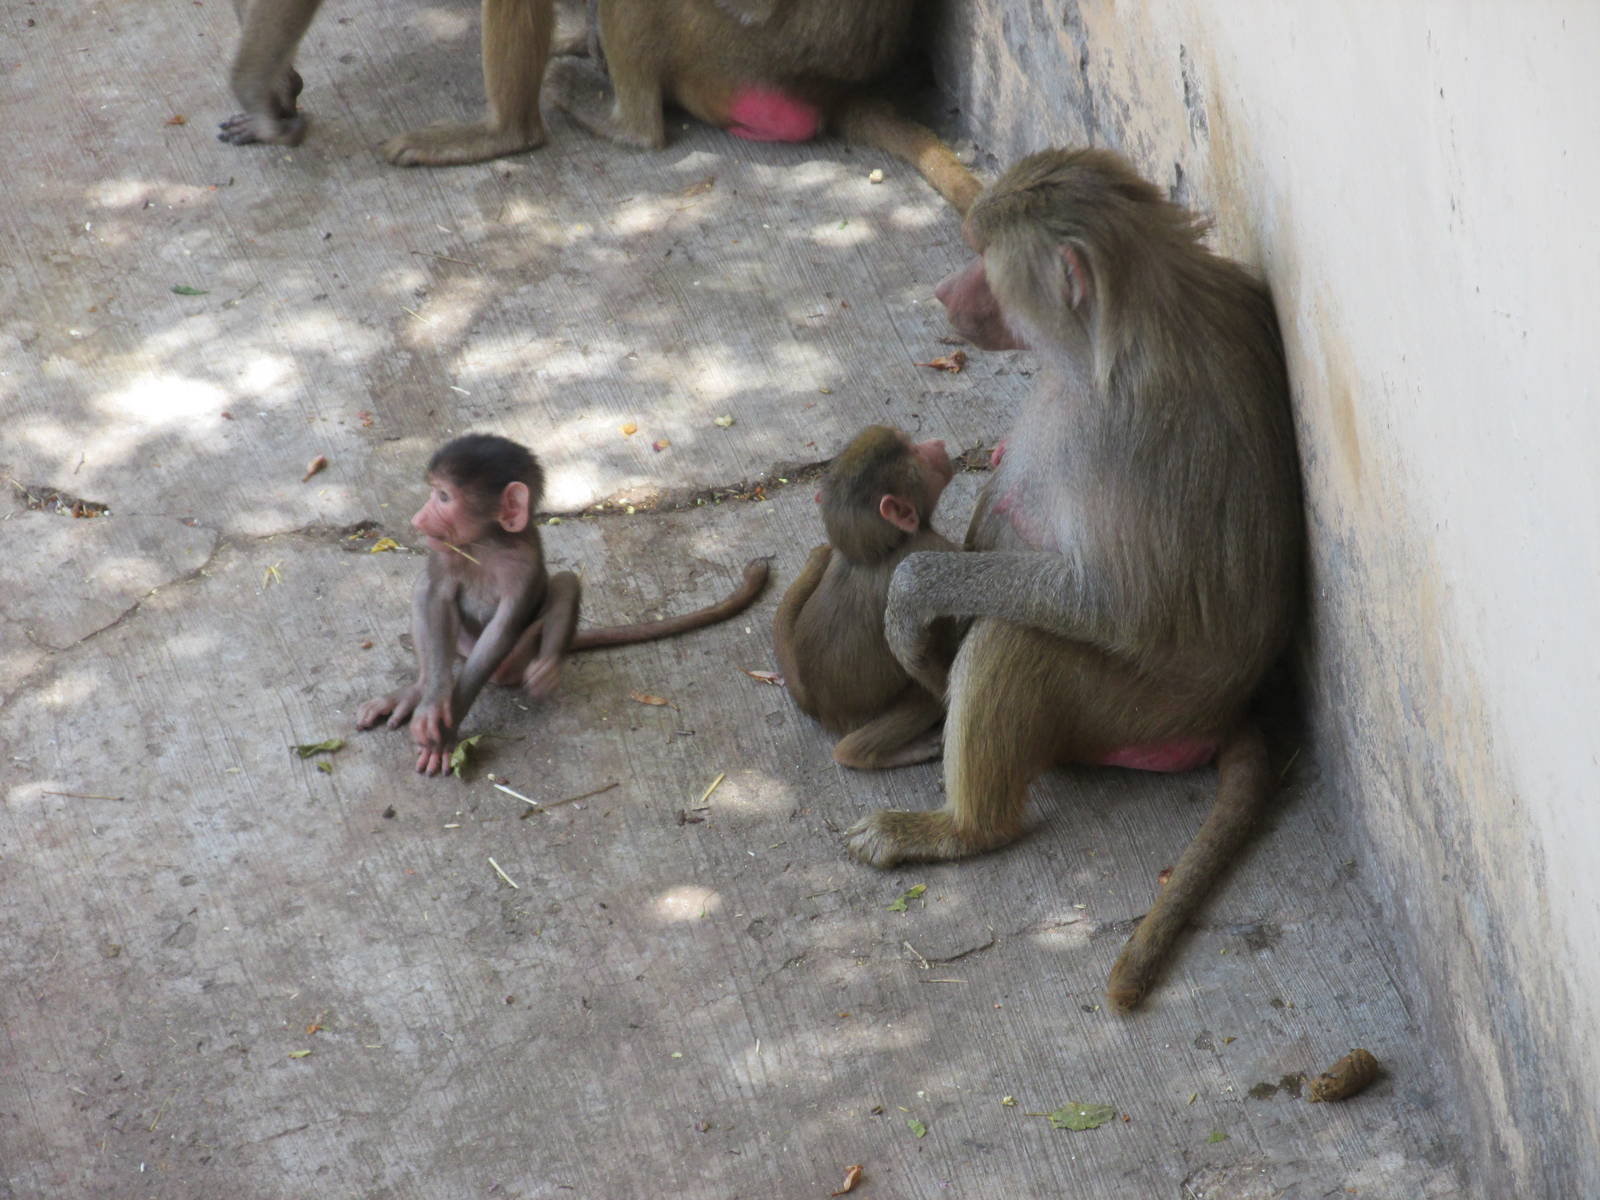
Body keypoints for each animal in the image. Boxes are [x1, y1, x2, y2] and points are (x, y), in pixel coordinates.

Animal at [355, 433, 769, 775]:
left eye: (443, 497)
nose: (418, 518)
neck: (488, 543)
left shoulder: (522, 565)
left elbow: (504, 628)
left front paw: (445, 731)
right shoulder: (447, 552)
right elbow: (435, 595)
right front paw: (432, 700)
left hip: (517, 660)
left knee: (564, 585)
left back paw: (547, 665)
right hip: (462, 644)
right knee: (428, 595)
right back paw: (415, 691)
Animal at [772, 426, 960, 769]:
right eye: (918, 454)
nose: (936, 444)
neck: (876, 552)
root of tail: (820, 707)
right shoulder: (935, 549)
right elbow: (915, 653)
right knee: (922, 696)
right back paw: (860, 753)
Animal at [843, 149, 1304, 1011]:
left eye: (982, 256)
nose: (942, 292)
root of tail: (1223, 712)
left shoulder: (1127, 434)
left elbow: (1120, 606)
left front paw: (913, 592)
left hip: (1133, 710)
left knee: (1014, 640)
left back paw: (959, 829)